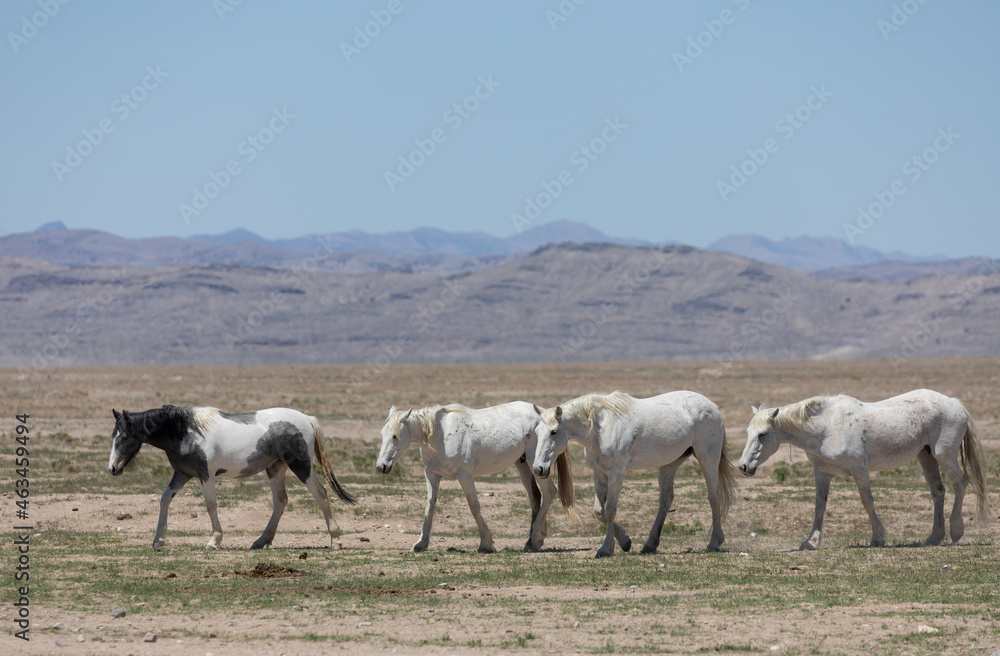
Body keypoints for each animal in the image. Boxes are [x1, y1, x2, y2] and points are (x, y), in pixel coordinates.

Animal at [107, 405, 356, 549]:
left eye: (125, 437)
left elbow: (210, 505)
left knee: (321, 494)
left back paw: (336, 540)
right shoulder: (183, 474)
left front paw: (214, 540)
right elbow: (165, 499)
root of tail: (306, 417)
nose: (113, 469)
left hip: (301, 466)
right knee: (280, 501)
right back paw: (261, 541)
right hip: (275, 469)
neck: (186, 431)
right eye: (113, 436)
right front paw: (158, 540)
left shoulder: (206, 476)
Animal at [375, 401, 580, 553]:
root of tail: (544, 413)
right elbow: (429, 507)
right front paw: (420, 543)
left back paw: (536, 538)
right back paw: (530, 543)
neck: (440, 435)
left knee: (549, 492)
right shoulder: (432, 475)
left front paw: (486, 544)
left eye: (395, 436)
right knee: (535, 496)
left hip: (535, 464)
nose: (380, 466)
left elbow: (474, 506)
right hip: (522, 464)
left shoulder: (465, 476)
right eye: (382, 434)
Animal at [531, 391, 738, 557]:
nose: (538, 469)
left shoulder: (616, 474)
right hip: (669, 465)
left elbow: (610, 510)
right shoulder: (599, 474)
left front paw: (606, 548)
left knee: (714, 496)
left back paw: (714, 542)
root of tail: (712, 407)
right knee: (665, 501)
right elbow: (599, 511)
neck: (601, 428)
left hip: (707, 458)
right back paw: (650, 545)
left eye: (554, 432)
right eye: (536, 431)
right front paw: (625, 541)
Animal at [738, 389, 992, 549]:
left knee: (960, 483)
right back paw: (933, 538)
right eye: (748, 433)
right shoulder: (822, 474)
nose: (743, 466)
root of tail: (954, 403)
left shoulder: (859, 470)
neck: (827, 428)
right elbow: (820, 507)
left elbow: (867, 501)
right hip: (926, 456)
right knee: (938, 492)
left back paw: (956, 530)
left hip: (944, 456)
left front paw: (878, 538)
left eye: (763, 434)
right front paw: (810, 542)